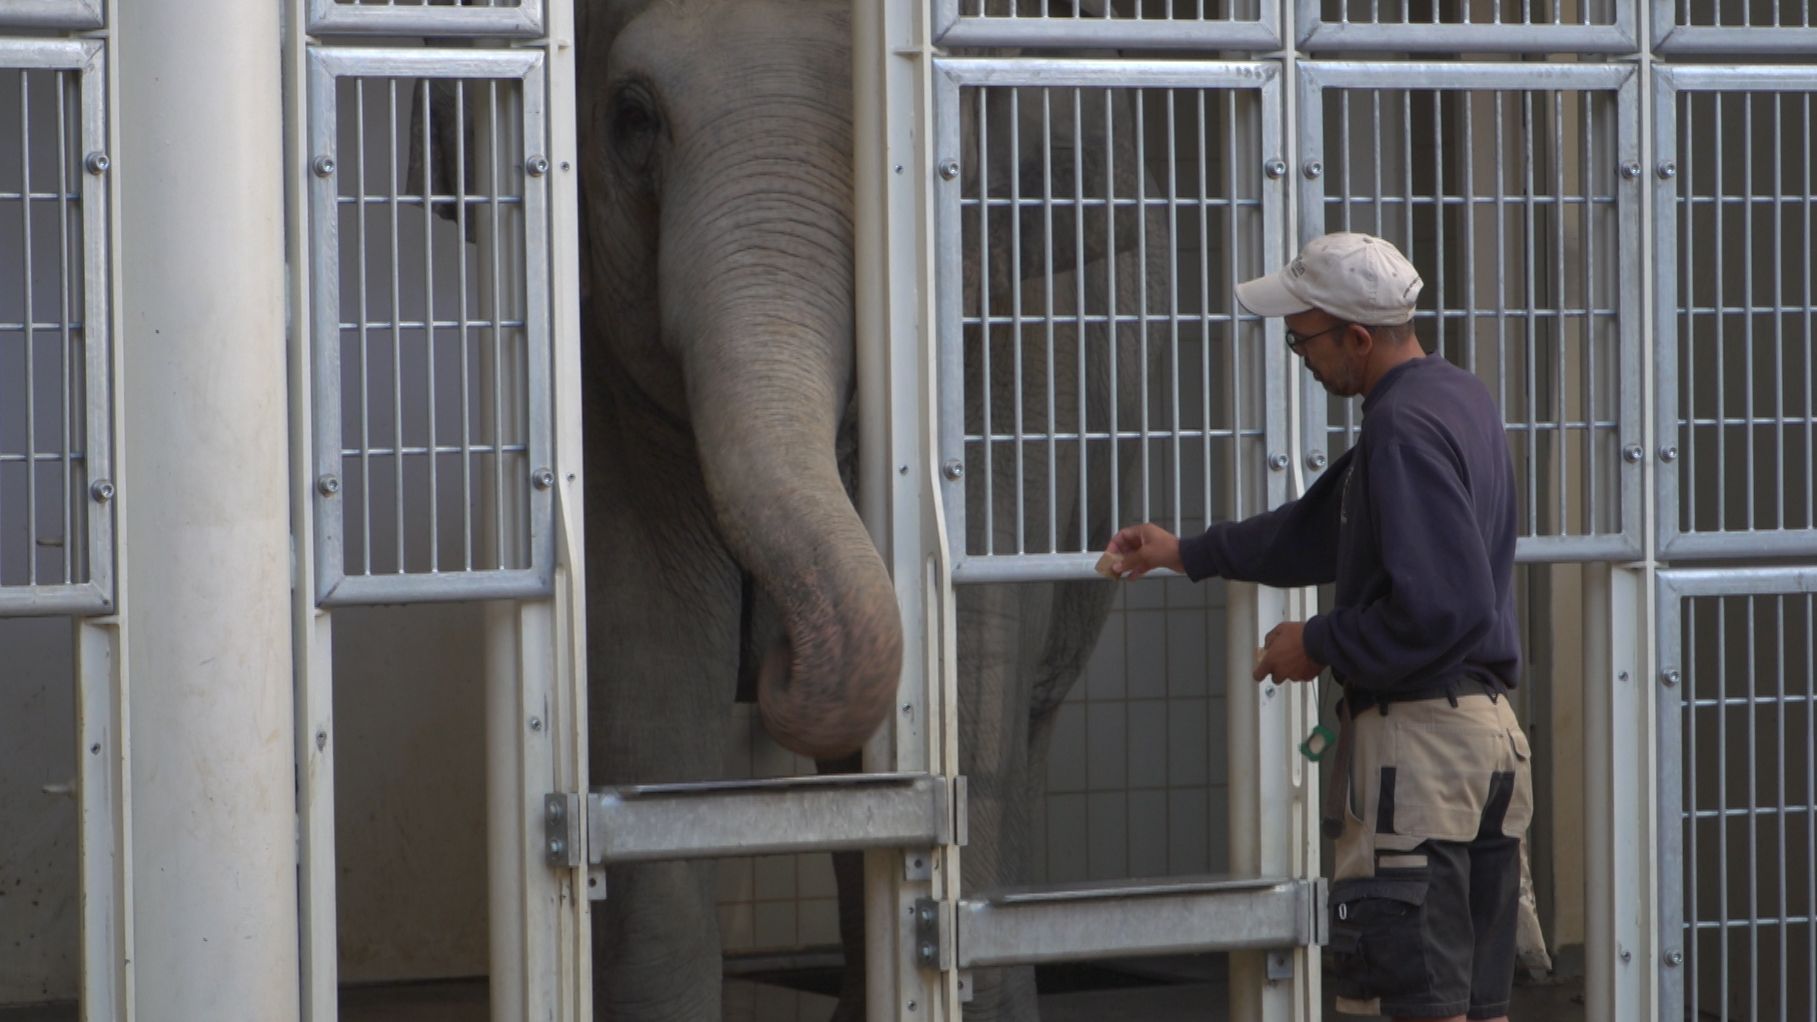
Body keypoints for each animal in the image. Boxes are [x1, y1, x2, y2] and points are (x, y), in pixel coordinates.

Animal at [566, 3, 1162, 1011]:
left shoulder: (1012, 349)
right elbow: (647, 684)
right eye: (633, 118)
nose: (769, 654)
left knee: (1024, 726)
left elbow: (972, 675)